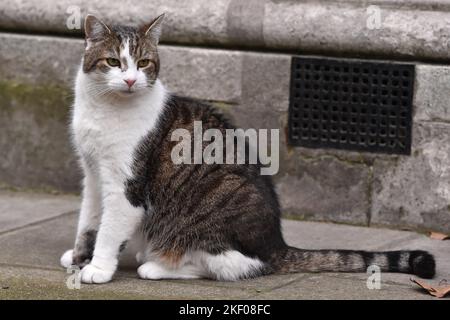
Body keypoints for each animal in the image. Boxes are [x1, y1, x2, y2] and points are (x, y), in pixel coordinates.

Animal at [59, 13, 436, 284]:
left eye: (144, 63)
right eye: (113, 62)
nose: (131, 80)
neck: (106, 109)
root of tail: (277, 244)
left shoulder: (126, 186)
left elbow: (109, 229)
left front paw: (98, 268)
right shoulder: (93, 174)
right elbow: (88, 221)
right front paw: (78, 257)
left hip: (205, 223)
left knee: (231, 266)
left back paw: (156, 265)